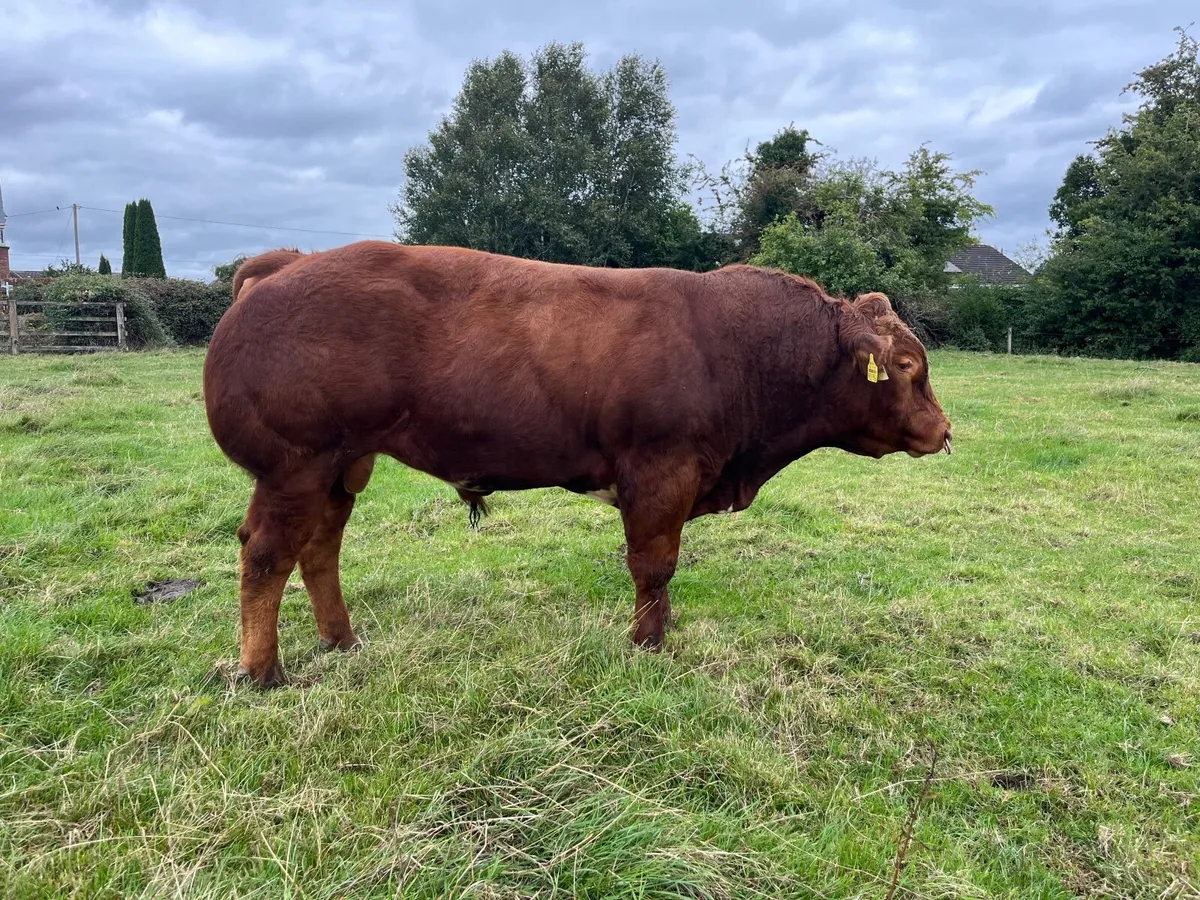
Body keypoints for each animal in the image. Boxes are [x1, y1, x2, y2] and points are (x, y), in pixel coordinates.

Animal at [202, 240, 952, 688]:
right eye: (905, 365)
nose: (944, 431)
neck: (737, 347)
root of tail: (283, 264)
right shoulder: (661, 471)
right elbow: (654, 564)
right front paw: (648, 643)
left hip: (342, 464)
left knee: (319, 550)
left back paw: (343, 641)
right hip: (294, 465)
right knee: (266, 555)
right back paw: (263, 671)